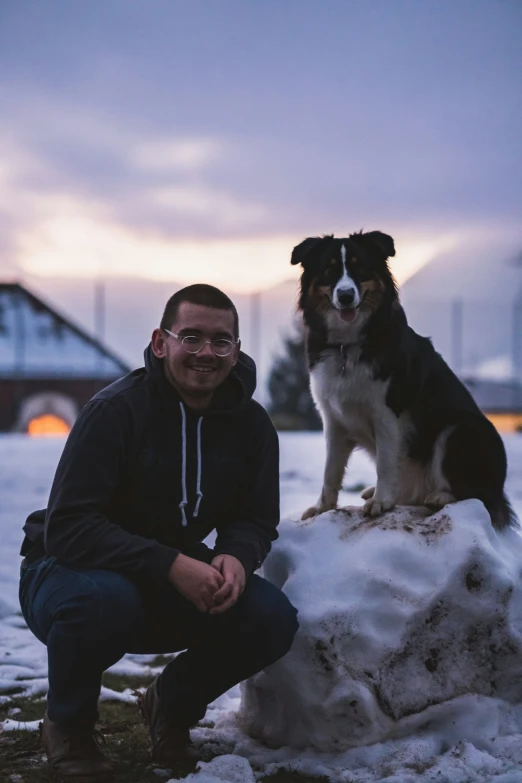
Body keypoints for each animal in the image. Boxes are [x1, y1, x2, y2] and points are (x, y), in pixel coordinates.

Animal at [290, 230, 512, 528]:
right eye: (329, 269)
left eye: (361, 268)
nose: (346, 296)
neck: (347, 345)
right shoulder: (333, 418)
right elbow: (330, 471)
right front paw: (322, 507)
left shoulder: (387, 412)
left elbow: (385, 462)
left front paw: (381, 502)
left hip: (462, 428)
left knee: (477, 494)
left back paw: (439, 496)